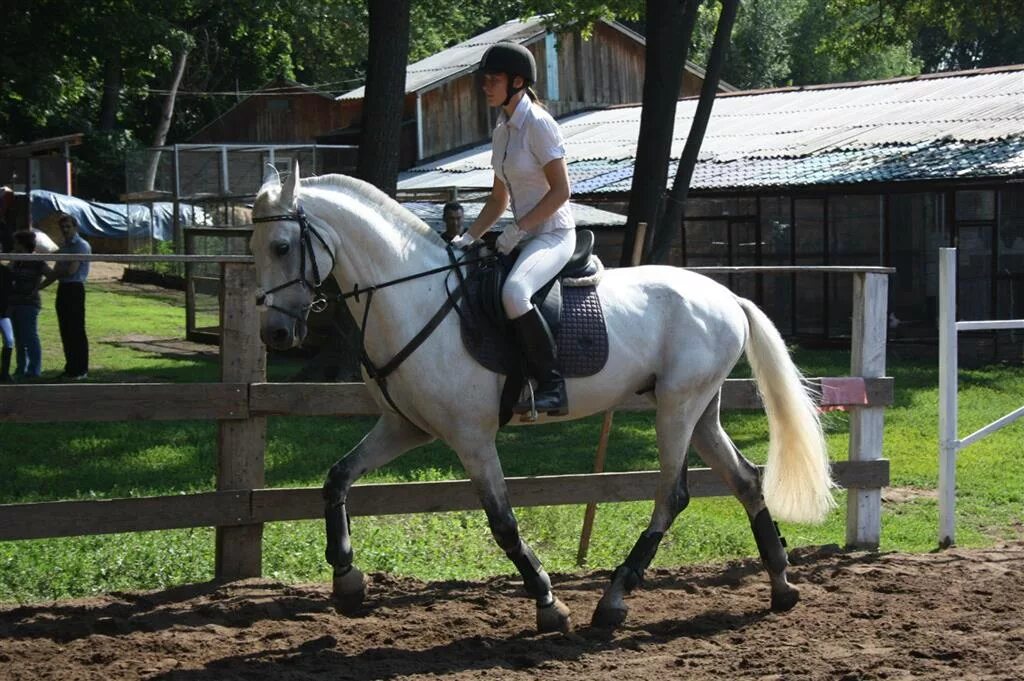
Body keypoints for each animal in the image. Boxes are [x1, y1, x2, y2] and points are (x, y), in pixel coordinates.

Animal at [251, 163, 835, 630]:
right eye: (259, 249)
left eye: (281, 247)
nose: (275, 334)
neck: (412, 295)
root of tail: (727, 297)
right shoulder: (405, 427)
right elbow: (337, 479)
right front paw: (347, 581)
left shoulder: (471, 437)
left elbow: (504, 523)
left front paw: (549, 604)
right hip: (700, 411)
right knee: (745, 480)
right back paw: (781, 586)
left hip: (677, 408)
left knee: (672, 496)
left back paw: (613, 602)